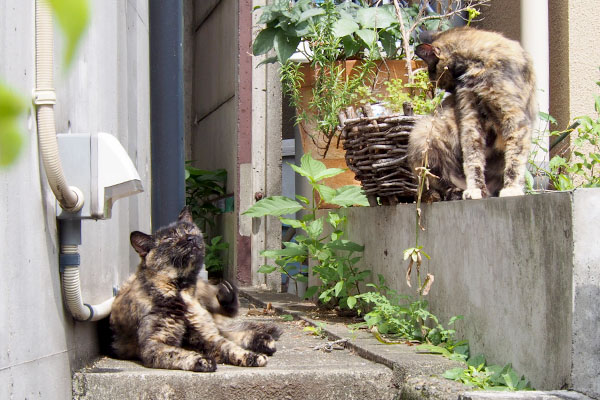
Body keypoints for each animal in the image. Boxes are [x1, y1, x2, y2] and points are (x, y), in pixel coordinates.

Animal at [109, 208, 282, 374]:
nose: (190, 238)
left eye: (189, 230)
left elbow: (229, 346)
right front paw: (202, 360)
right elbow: (178, 353)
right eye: (169, 239)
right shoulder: (154, 344)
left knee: (225, 324)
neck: (182, 292)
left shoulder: (207, 335)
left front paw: (250, 356)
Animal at [406, 26, 536, 200]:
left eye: (434, 74)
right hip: (423, 133)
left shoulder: (513, 117)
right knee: (436, 183)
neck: (477, 67)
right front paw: (475, 190)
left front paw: (512, 189)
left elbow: (515, 157)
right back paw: (455, 192)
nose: (445, 90)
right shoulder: (470, 117)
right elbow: (472, 157)